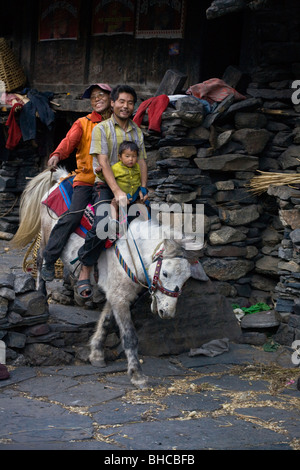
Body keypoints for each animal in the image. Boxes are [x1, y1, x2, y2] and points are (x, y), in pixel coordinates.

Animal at [11, 167, 206, 388]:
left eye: (186, 279)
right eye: (165, 273)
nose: (167, 312)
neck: (132, 252)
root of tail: (61, 178)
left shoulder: (117, 294)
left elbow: (105, 322)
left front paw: (96, 354)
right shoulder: (120, 298)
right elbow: (129, 336)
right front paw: (137, 375)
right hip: (46, 236)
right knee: (42, 259)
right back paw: (42, 294)